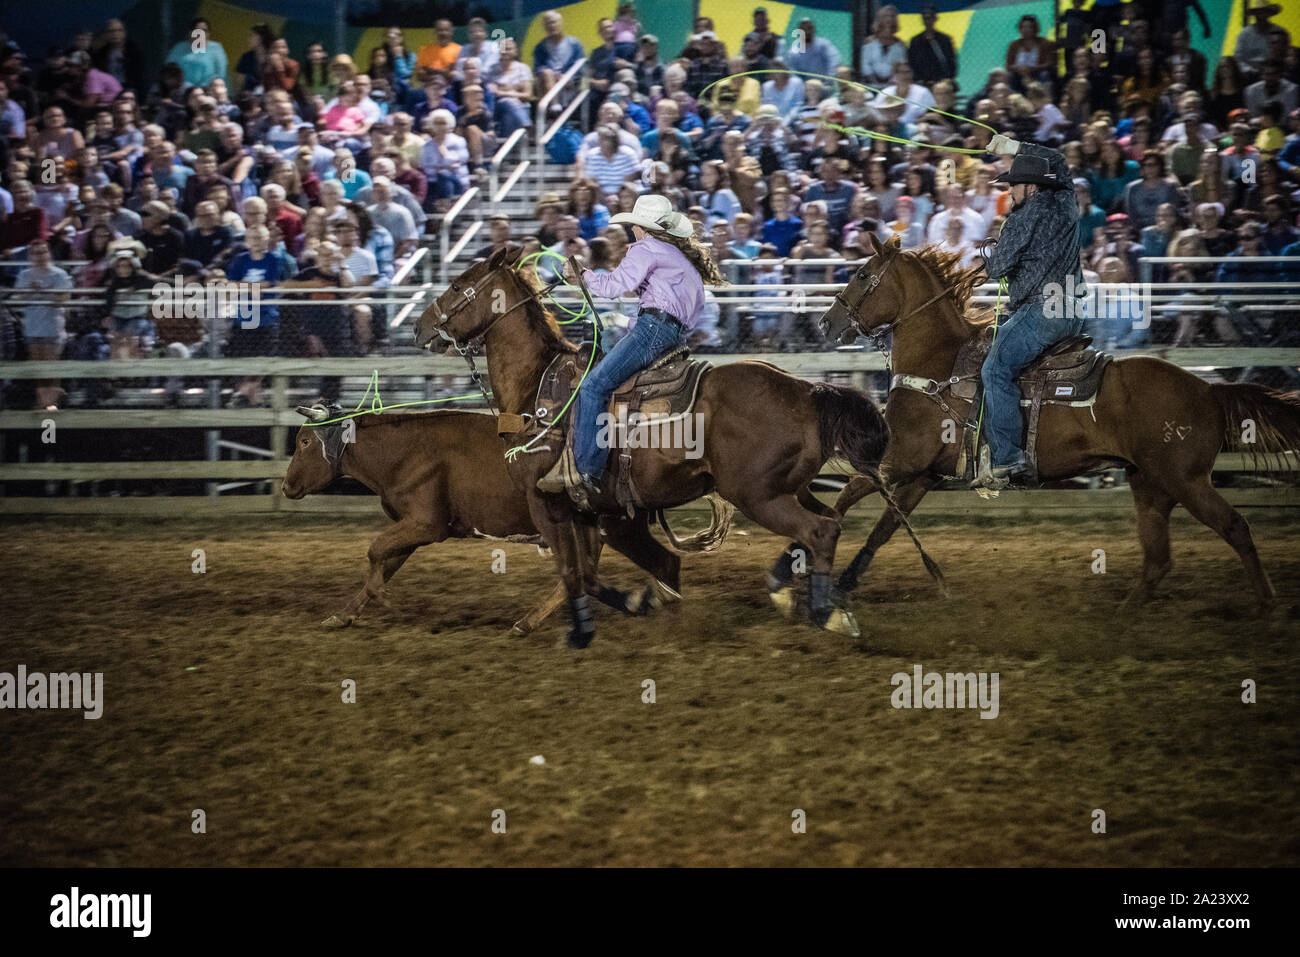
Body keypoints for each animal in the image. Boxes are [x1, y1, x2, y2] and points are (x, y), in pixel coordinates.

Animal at [280, 403, 738, 634]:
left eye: (303, 442)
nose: (286, 486)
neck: (404, 449)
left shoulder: (426, 524)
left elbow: (375, 552)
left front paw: (382, 600)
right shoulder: (412, 527)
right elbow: (384, 560)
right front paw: (345, 613)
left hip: (618, 526)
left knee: (649, 564)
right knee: (592, 572)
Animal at [416, 243, 894, 647]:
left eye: (458, 285)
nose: (421, 327)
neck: (538, 387)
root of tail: (809, 390)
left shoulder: (546, 503)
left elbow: (574, 572)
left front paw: (589, 628)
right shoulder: (594, 511)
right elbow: (593, 572)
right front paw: (644, 601)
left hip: (758, 495)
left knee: (820, 531)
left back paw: (825, 613)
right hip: (790, 488)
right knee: (828, 519)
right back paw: (799, 594)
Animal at [816, 231, 1300, 613]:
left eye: (863, 275)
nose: (825, 323)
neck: (939, 363)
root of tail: (1208, 389)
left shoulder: (900, 459)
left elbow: (845, 498)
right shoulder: (921, 474)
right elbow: (883, 528)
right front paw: (842, 585)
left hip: (1185, 480)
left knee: (1234, 527)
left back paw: (1266, 603)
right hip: (1149, 482)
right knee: (1158, 557)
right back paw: (1125, 612)